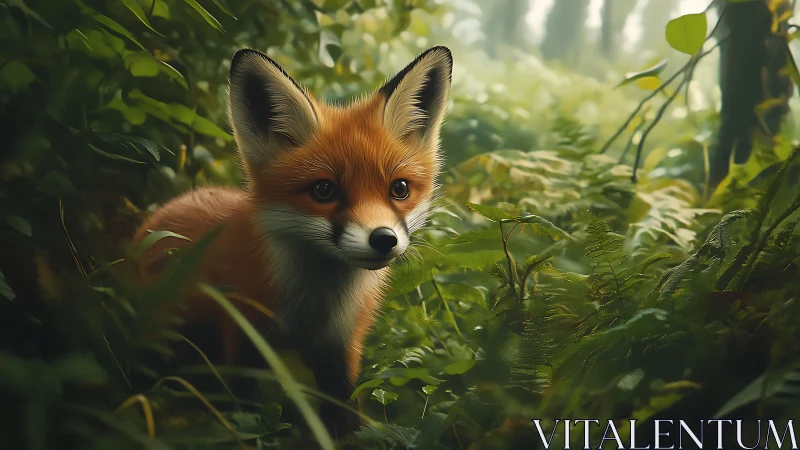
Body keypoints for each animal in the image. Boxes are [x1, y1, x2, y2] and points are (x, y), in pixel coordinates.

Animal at [132, 45, 453, 434]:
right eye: (323, 190)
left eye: (400, 189)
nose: (383, 239)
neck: (310, 309)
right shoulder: (243, 335)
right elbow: (242, 413)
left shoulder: (341, 349)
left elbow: (343, 420)